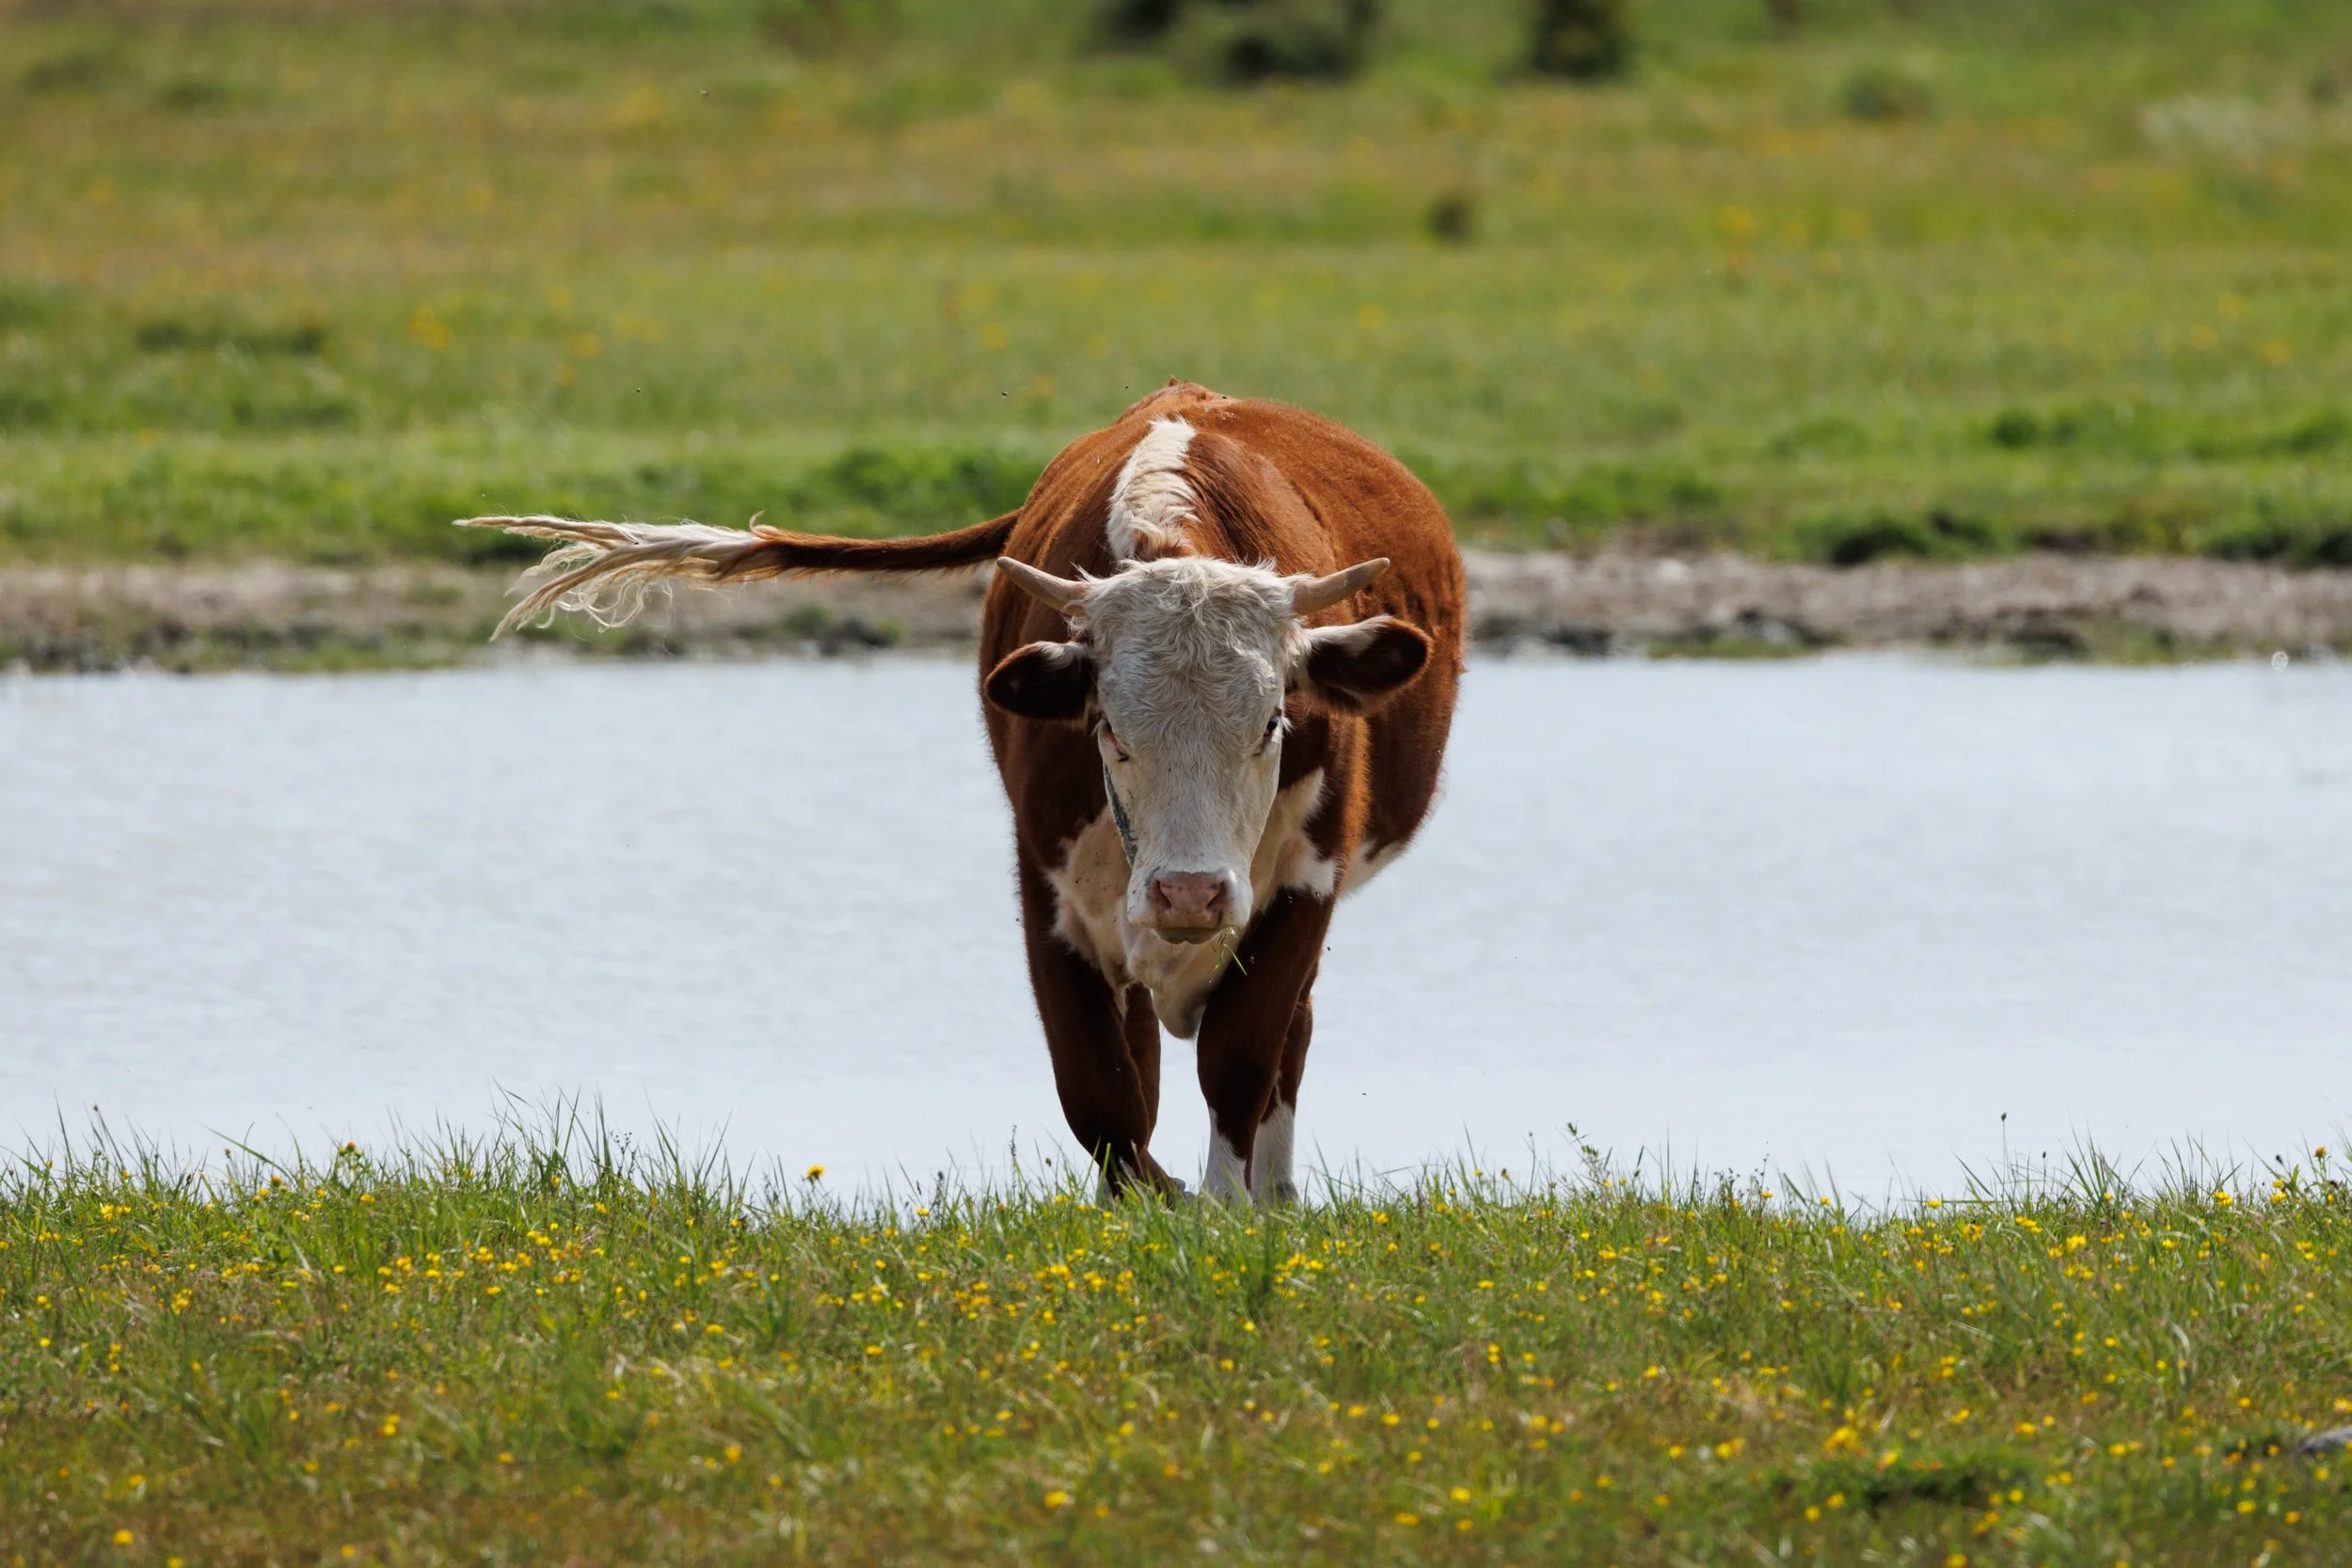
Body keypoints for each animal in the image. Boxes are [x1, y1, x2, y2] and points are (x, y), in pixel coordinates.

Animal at [460, 381, 1464, 1204]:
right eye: (1109, 727)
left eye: (1272, 723)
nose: (1190, 893)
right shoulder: (1049, 893)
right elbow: (1103, 1097)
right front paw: (1160, 1206)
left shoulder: (1302, 885)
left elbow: (1242, 1059)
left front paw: (1222, 1212)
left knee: (1280, 1050)